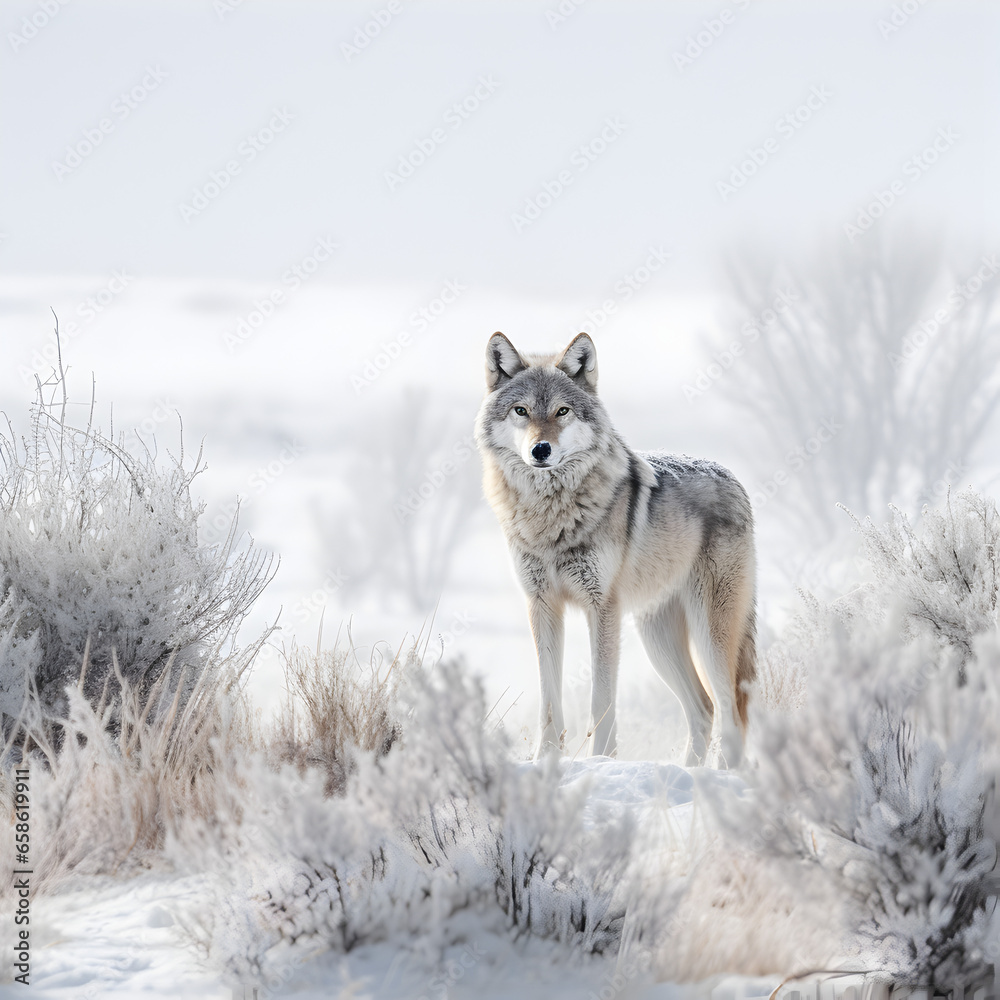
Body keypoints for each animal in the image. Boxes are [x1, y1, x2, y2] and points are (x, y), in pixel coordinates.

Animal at [474, 332, 756, 767]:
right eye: (521, 410)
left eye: (562, 411)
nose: (541, 450)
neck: (550, 517)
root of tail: (733, 479)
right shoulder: (542, 606)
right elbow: (549, 703)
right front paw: (546, 762)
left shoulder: (602, 607)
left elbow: (601, 701)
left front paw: (601, 762)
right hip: (656, 637)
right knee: (703, 709)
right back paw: (687, 772)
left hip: (710, 633)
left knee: (731, 712)